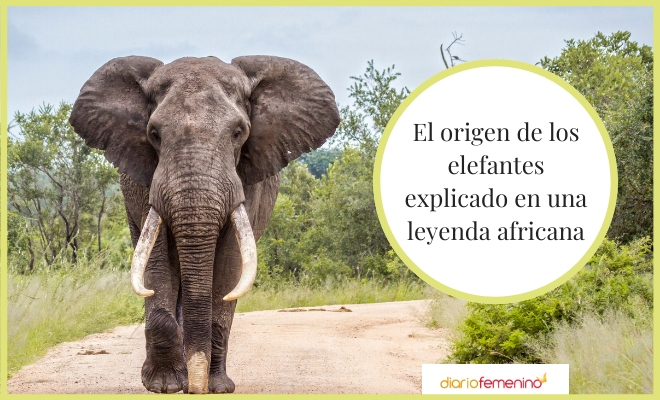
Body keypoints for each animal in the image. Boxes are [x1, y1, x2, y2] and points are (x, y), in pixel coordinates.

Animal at [69, 55, 340, 394]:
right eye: (154, 134)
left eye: (238, 132)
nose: (196, 387)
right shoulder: (148, 181)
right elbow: (157, 262)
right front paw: (166, 385)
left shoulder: (245, 180)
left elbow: (228, 266)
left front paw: (216, 386)